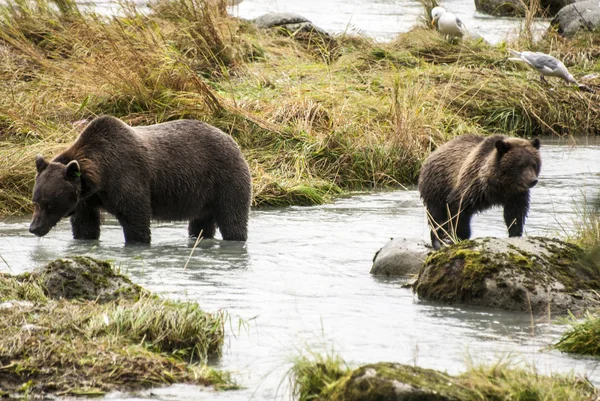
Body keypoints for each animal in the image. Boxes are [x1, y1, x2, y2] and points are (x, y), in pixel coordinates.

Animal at [28, 114, 251, 242]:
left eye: (49, 204)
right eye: (35, 201)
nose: (34, 228)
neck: (99, 178)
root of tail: (232, 139)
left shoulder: (128, 178)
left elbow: (136, 220)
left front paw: (137, 241)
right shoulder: (86, 200)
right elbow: (85, 227)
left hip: (225, 180)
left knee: (233, 219)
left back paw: (235, 238)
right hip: (203, 198)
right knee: (201, 224)